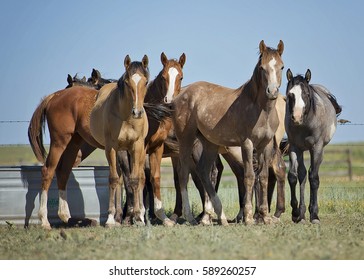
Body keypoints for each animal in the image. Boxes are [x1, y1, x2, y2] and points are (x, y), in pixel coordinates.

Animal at [90, 54, 151, 225]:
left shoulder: (137, 147)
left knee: (137, 178)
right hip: (117, 151)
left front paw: (138, 216)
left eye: (146, 82)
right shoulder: (111, 147)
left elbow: (135, 179)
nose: (137, 112)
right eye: (127, 82)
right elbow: (113, 179)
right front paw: (110, 218)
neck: (125, 117)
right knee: (117, 179)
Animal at [171, 40, 284, 225]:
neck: (260, 110)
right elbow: (249, 176)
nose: (272, 91)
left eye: (281, 66)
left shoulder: (265, 145)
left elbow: (264, 177)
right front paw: (249, 217)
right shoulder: (247, 144)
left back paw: (219, 216)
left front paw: (265, 216)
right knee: (183, 174)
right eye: (262, 67)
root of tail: (179, 95)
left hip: (209, 143)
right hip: (186, 139)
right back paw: (191, 217)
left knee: (204, 171)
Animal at [284, 69, 342, 224]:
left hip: (318, 151)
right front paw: (296, 213)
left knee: (310, 175)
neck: (305, 125)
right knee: (302, 176)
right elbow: (293, 176)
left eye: (306, 94)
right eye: (290, 94)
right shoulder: (294, 147)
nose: (297, 117)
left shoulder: (316, 148)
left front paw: (314, 215)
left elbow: (314, 178)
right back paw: (302, 214)